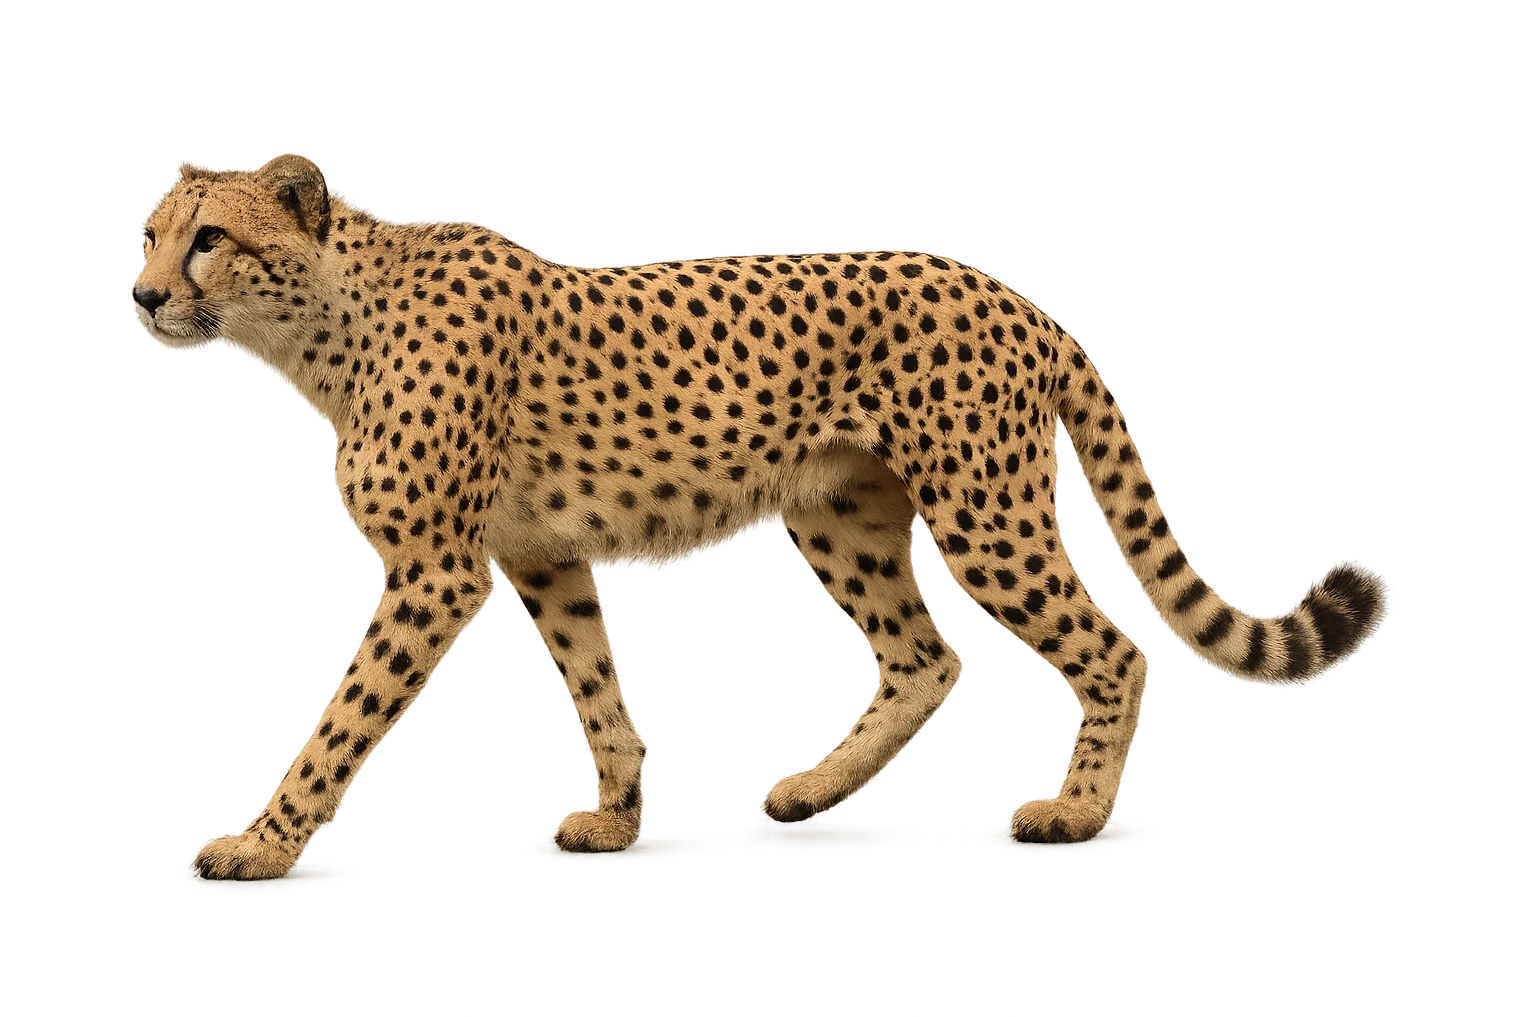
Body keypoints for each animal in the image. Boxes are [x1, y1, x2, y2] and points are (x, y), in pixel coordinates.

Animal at [132, 153, 1395, 879]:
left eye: (209, 239)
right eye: (148, 231)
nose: (142, 296)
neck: (322, 328)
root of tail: (1013, 292)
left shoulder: (434, 571)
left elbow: (341, 718)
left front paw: (260, 841)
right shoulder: (541, 558)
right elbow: (596, 688)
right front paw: (616, 816)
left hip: (986, 512)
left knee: (1111, 644)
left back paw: (1073, 811)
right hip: (839, 514)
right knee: (925, 656)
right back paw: (809, 791)